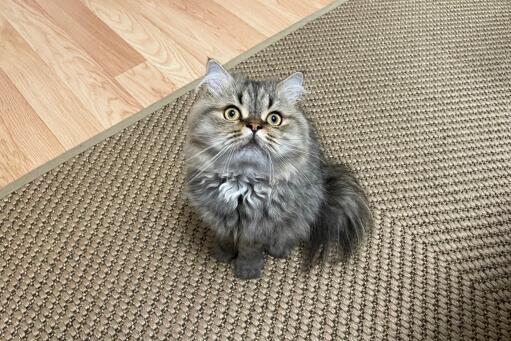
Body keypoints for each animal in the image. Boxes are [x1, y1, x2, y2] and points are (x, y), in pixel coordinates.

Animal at [184, 58, 372, 278]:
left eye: (274, 119)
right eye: (231, 113)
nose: (254, 126)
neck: (242, 182)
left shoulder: (258, 227)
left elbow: (250, 251)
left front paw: (247, 272)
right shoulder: (219, 217)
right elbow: (226, 239)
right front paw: (222, 255)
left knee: (291, 234)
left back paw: (279, 251)